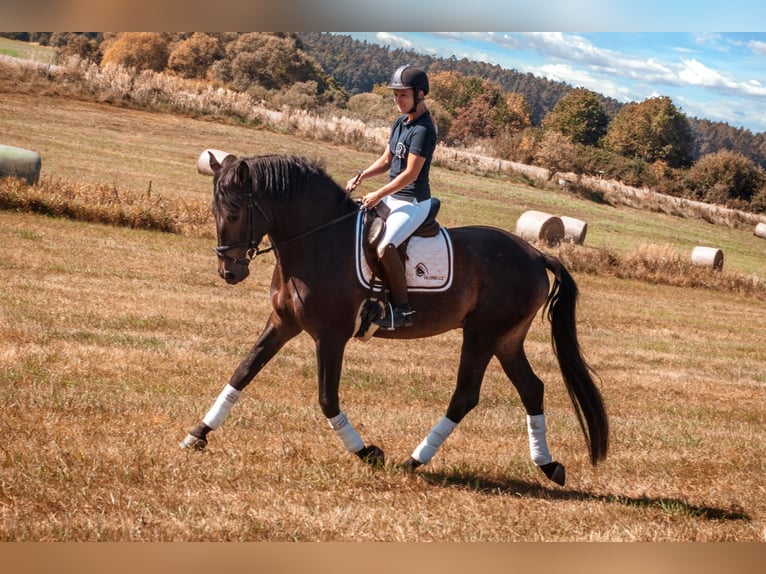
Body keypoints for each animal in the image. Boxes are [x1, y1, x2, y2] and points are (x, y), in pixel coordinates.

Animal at [183, 152, 608, 486]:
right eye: (214, 212)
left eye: (235, 212)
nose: (229, 272)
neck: (316, 241)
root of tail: (536, 253)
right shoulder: (282, 323)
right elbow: (242, 372)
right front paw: (197, 434)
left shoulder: (330, 335)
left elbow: (326, 398)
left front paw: (367, 452)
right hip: (506, 339)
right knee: (531, 389)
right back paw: (548, 465)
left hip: (482, 335)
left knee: (465, 396)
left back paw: (414, 460)